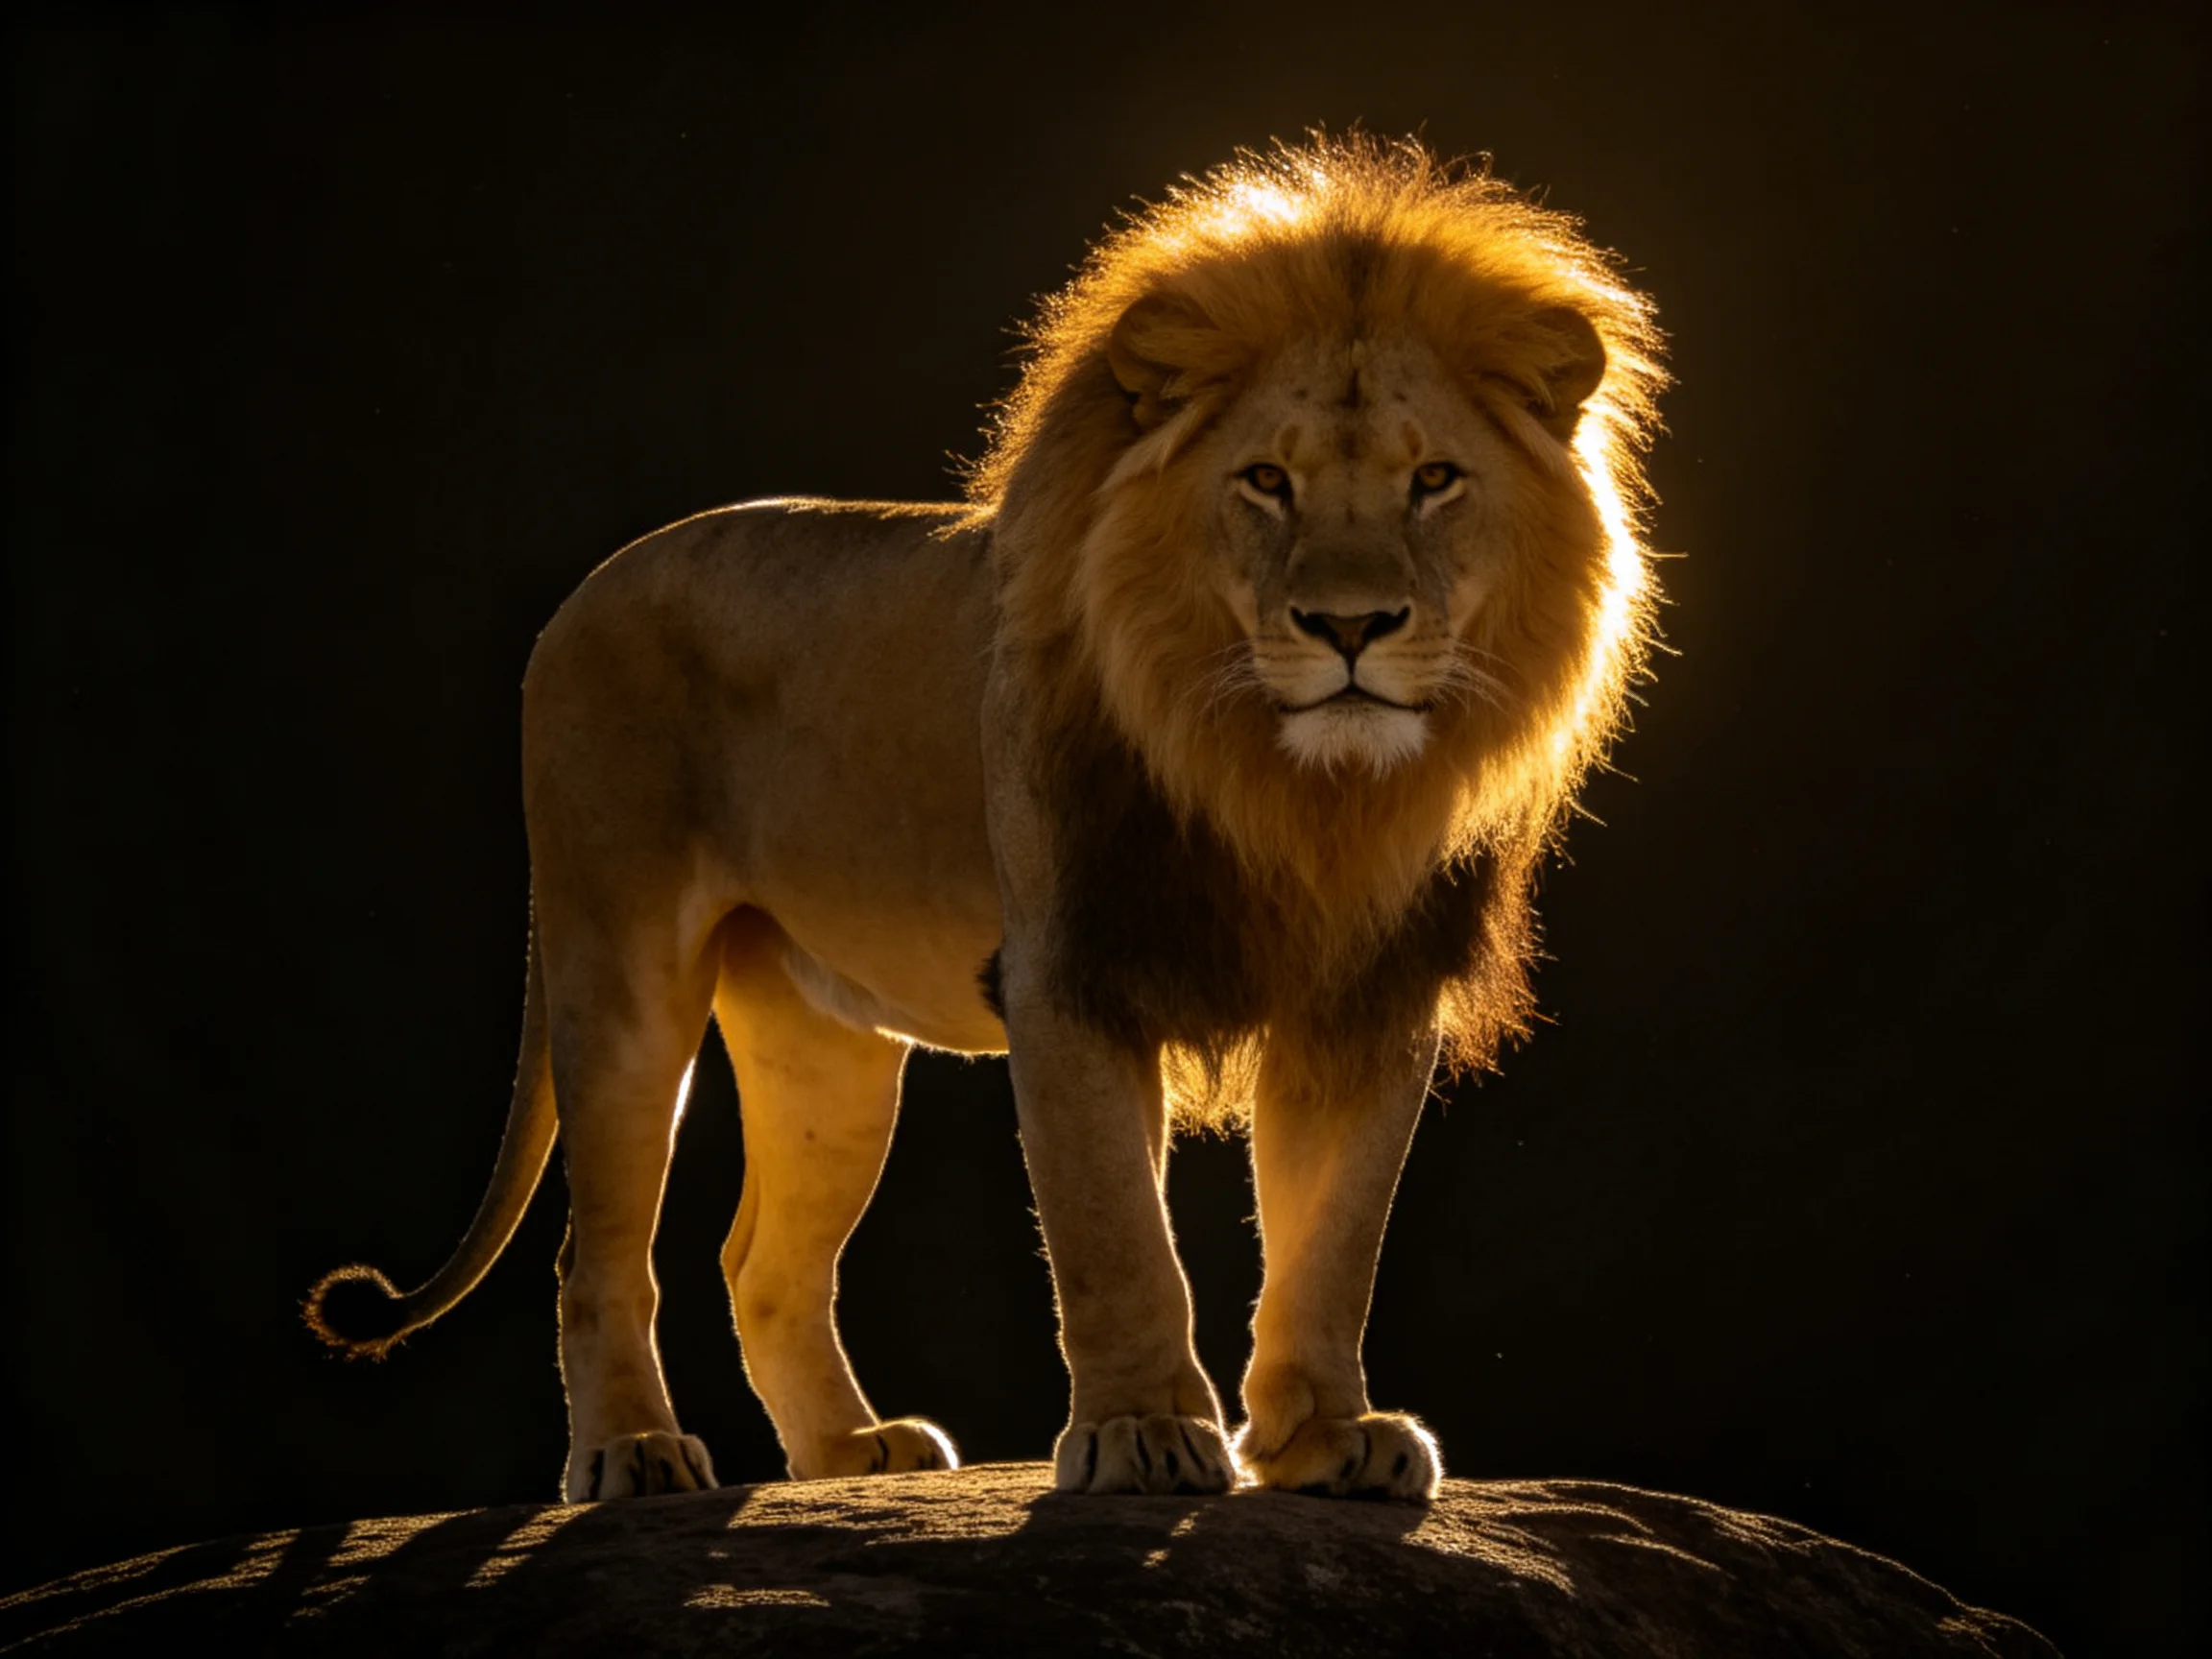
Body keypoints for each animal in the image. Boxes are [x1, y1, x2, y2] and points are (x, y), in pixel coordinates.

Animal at [306, 135, 1665, 1505]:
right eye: (1266, 483)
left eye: (1434, 480)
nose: (1350, 627)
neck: (1294, 790)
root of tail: (581, 595)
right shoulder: (1069, 971)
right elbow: (1116, 1230)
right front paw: (1141, 1431)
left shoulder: (1371, 995)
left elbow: (1333, 1240)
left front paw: (1327, 1439)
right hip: (619, 972)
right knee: (596, 1260)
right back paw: (635, 1452)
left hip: (825, 1050)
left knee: (764, 1262)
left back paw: (849, 1456)